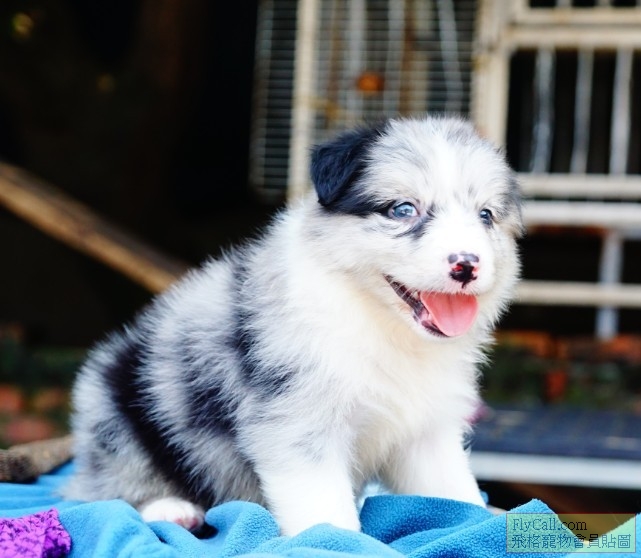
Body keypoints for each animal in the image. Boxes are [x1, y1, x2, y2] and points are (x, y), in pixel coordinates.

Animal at [63, 116, 522, 536]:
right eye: (403, 209)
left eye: (485, 216)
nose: (467, 265)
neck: (382, 325)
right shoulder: (299, 423)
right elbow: (326, 512)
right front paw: (336, 541)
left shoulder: (428, 431)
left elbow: (455, 492)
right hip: (115, 408)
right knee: (105, 487)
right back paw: (170, 509)